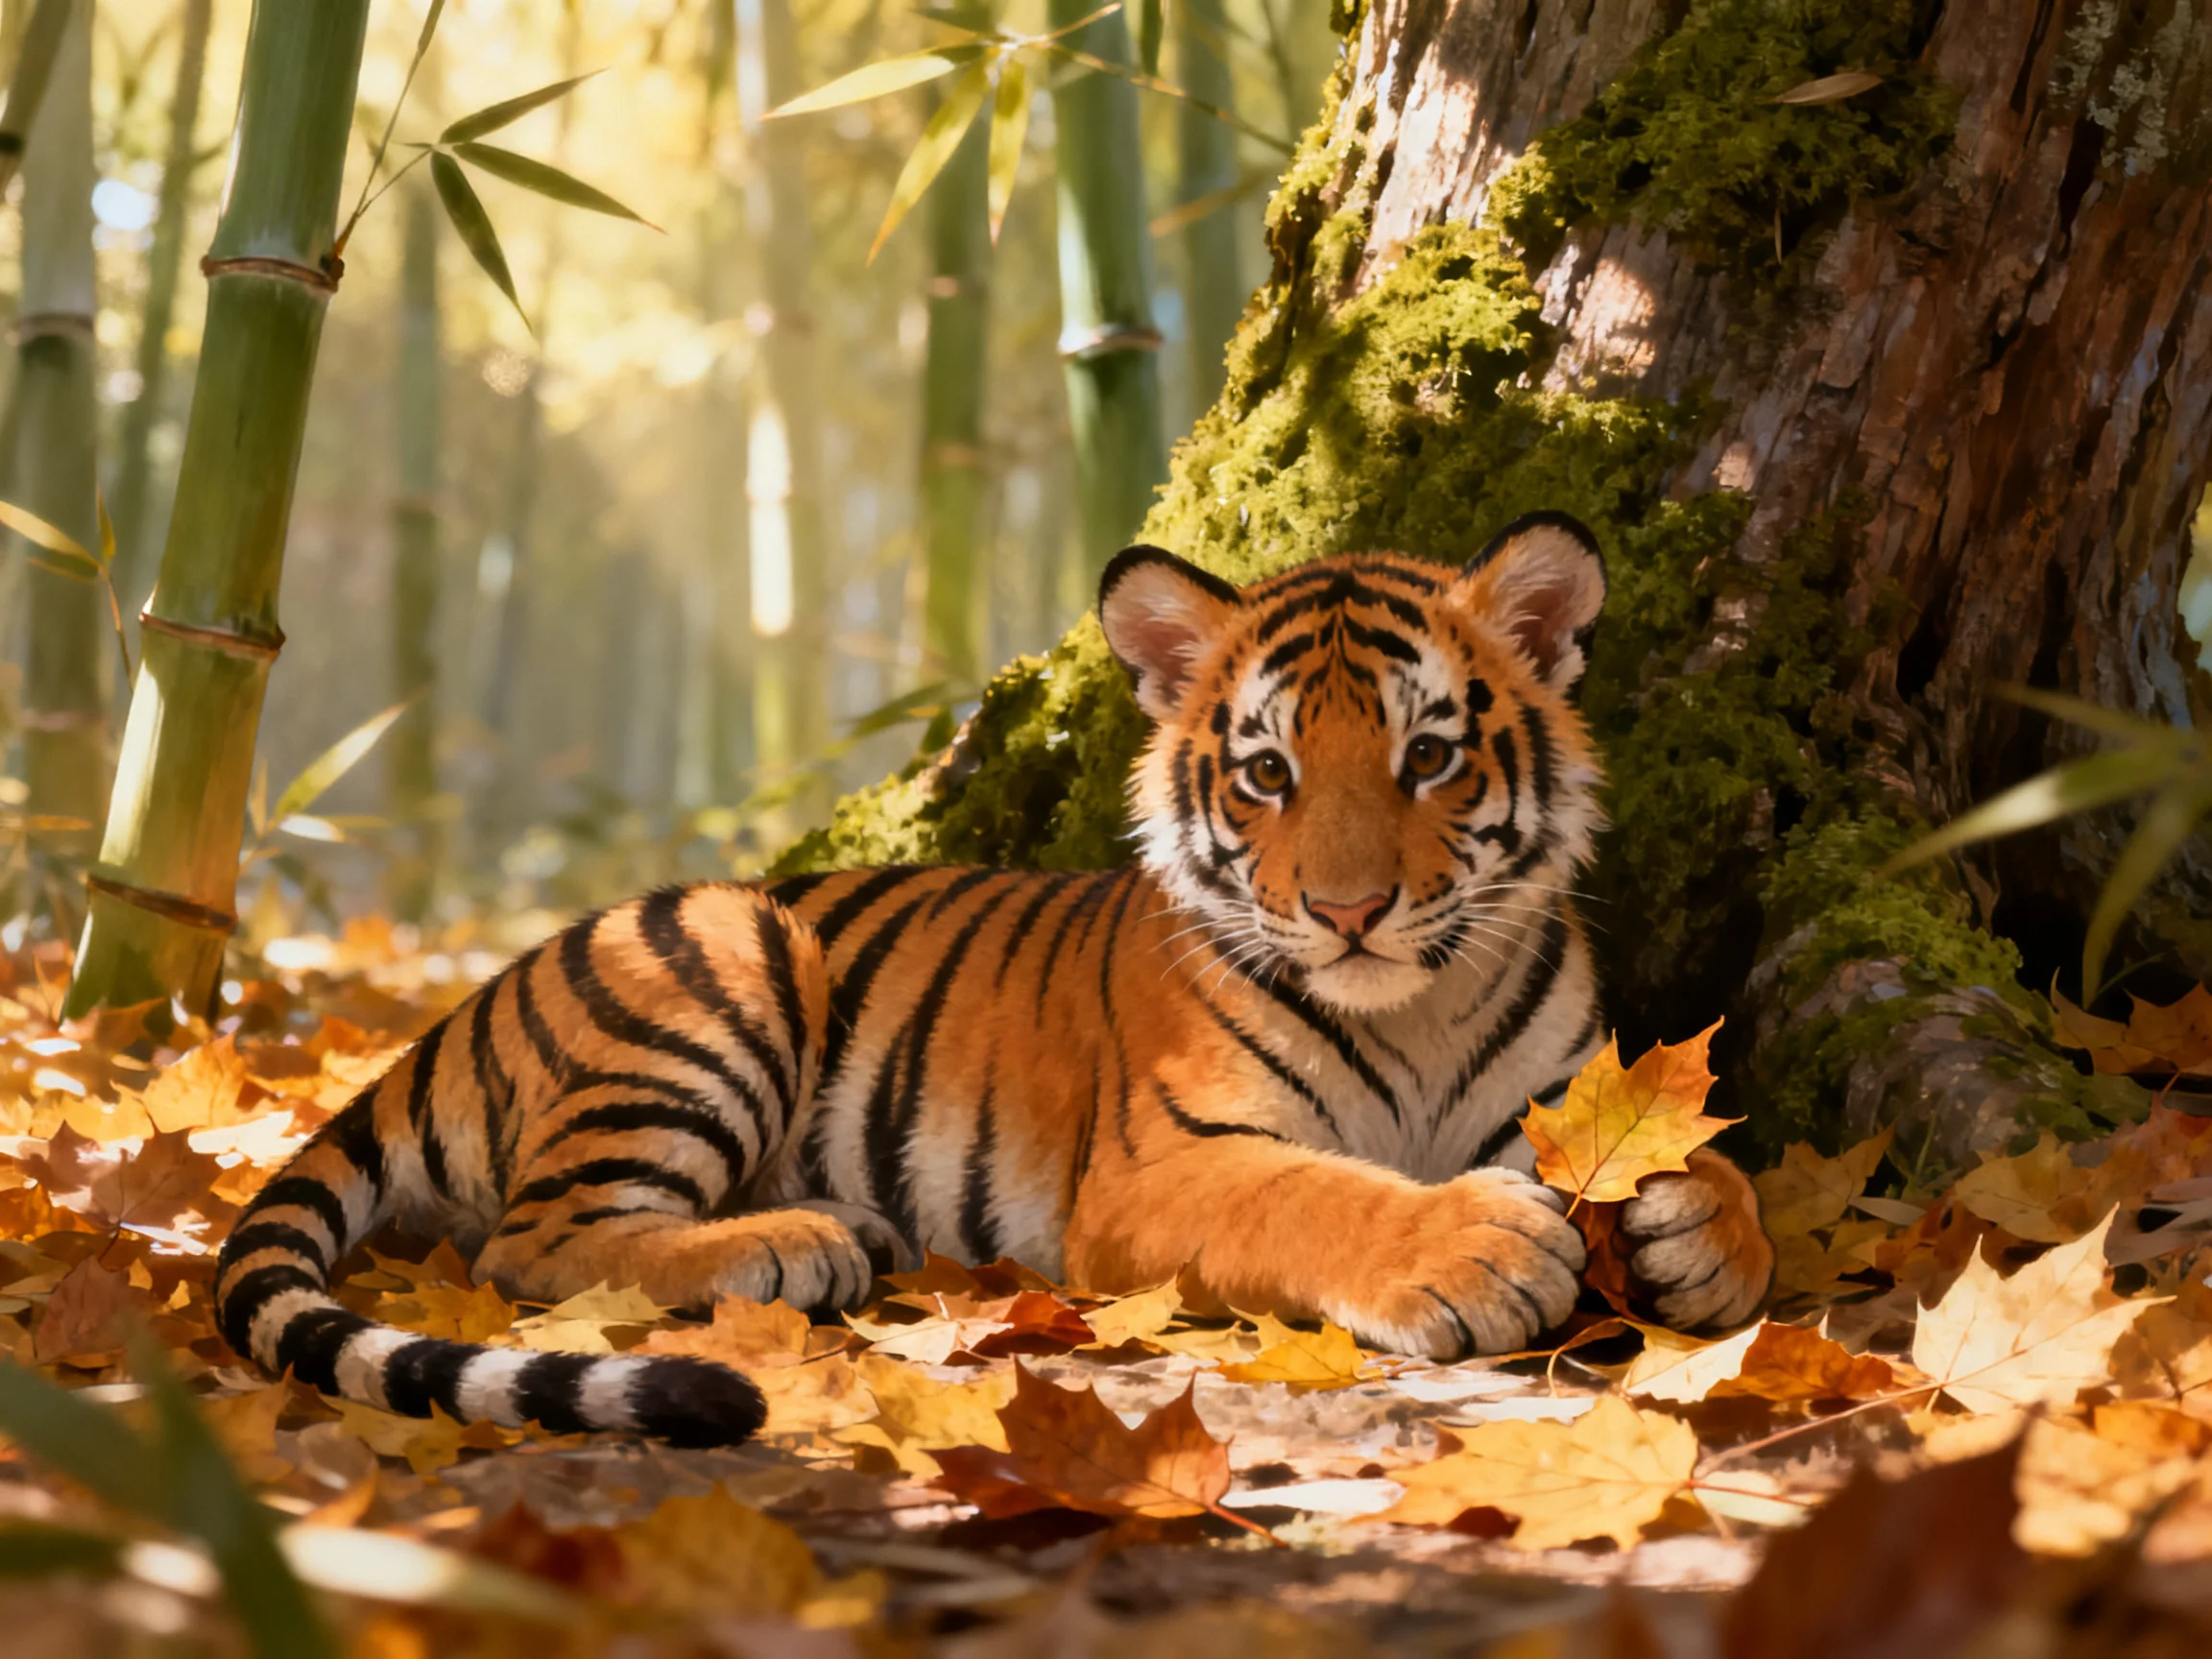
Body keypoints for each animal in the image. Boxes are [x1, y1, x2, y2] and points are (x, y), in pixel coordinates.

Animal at [213, 514, 1774, 1447]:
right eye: (1268, 772)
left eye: (1430, 756)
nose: (1346, 912)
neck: (1421, 1013)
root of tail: (455, 1015)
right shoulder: (1158, 1169)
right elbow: (1315, 1194)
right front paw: (1475, 1246)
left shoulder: (1560, 1093)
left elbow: (1702, 1161)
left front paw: (1702, 1228)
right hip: (727, 958)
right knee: (531, 1245)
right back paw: (798, 1241)